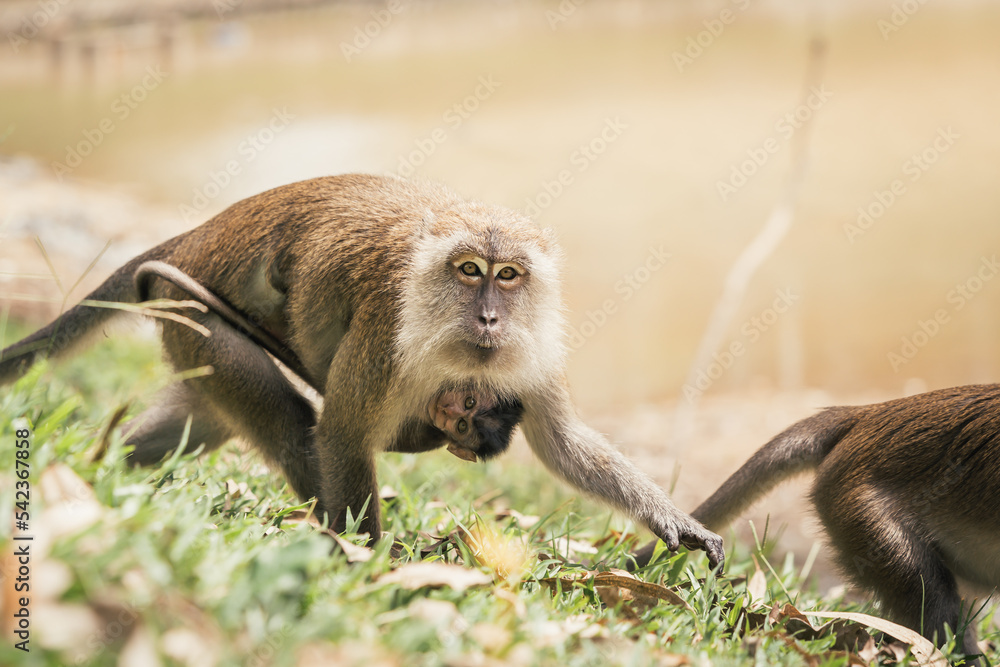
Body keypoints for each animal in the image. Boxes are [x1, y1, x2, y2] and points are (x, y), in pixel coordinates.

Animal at [0, 174, 723, 567]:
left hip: (187, 329)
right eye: (471, 271)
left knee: (207, 415)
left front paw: (674, 521)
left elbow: (562, 444)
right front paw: (370, 561)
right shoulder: (385, 330)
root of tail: (194, 237)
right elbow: (344, 432)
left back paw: (99, 468)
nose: (490, 318)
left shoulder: (533, 351)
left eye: (511, 275)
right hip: (193, 308)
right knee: (292, 423)